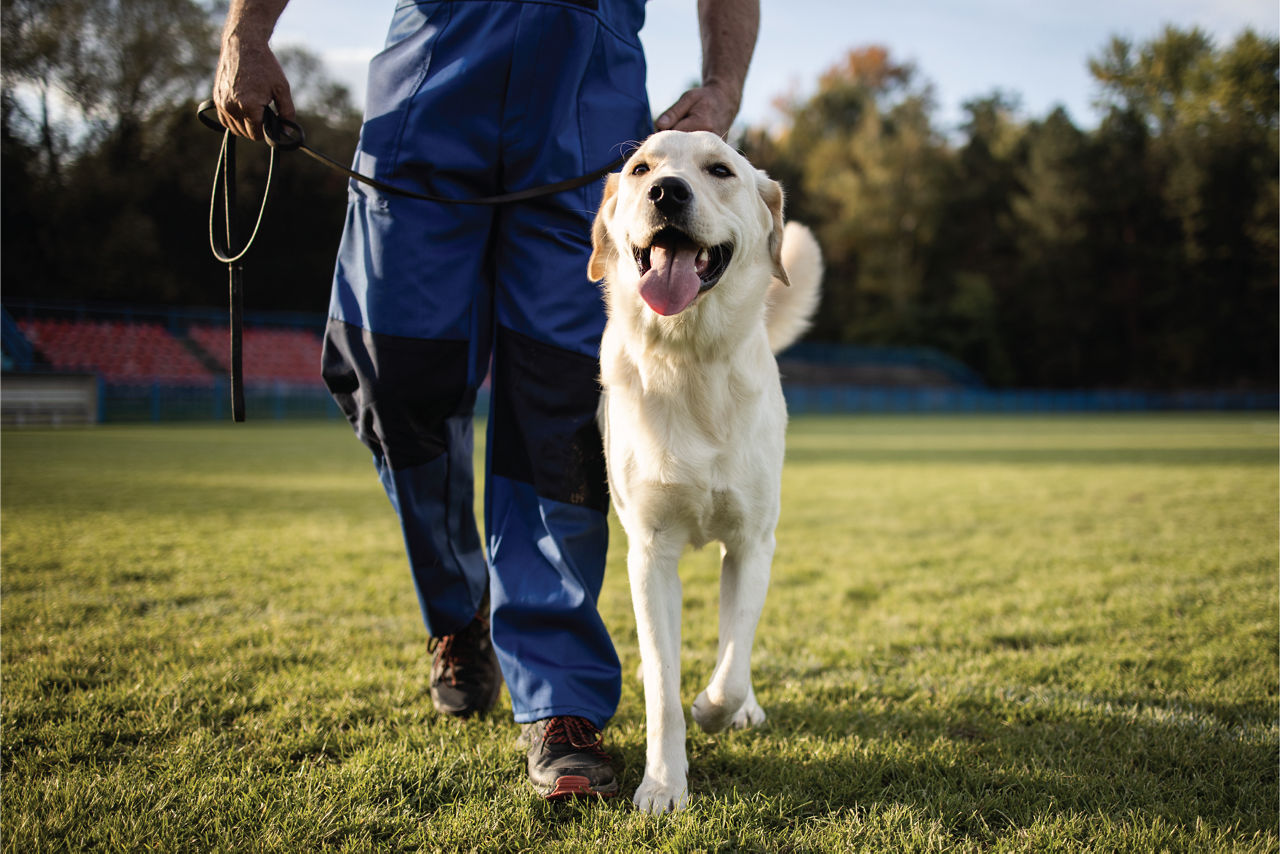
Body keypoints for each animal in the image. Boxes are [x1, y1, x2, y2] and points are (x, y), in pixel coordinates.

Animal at [586, 130, 819, 814]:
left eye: (720, 170)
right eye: (641, 169)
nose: (667, 191)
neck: (689, 361)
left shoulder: (751, 543)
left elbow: (732, 661)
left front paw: (718, 709)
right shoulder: (649, 551)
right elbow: (663, 689)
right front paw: (664, 784)